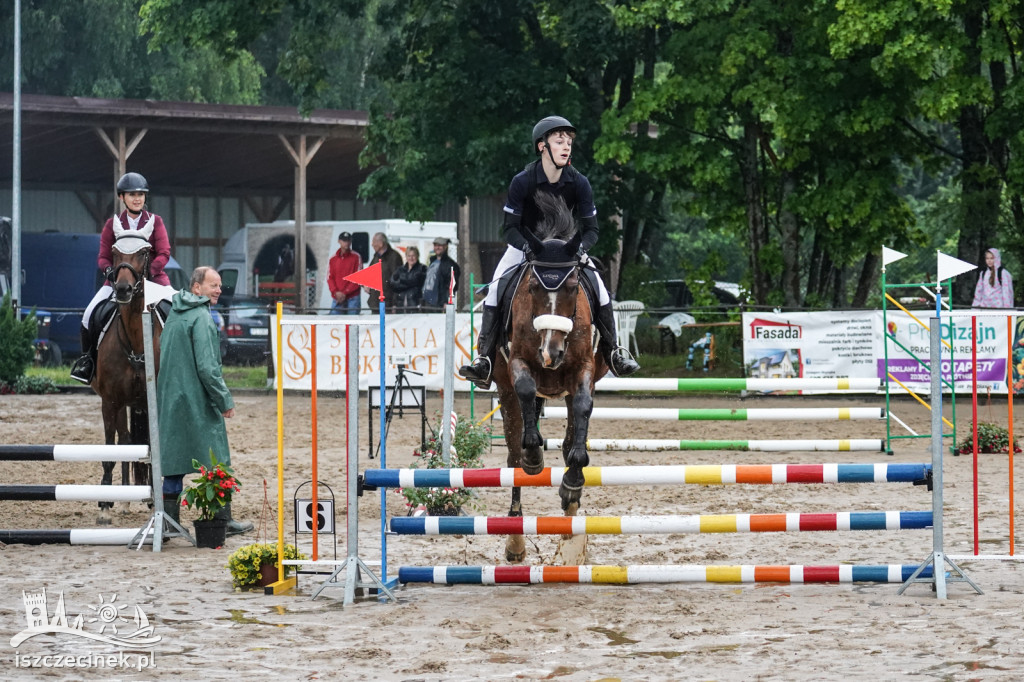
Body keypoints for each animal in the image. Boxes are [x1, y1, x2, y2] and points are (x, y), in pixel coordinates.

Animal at [489, 189, 602, 557]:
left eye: (572, 287)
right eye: (534, 289)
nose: (550, 353)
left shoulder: (583, 369)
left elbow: (582, 410)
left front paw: (573, 482)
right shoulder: (517, 364)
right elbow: (526, 390)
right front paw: (534, 454)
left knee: (567, 438)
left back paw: (570, 513)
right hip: (505, 389)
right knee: (512, 457)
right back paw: (515, 539)